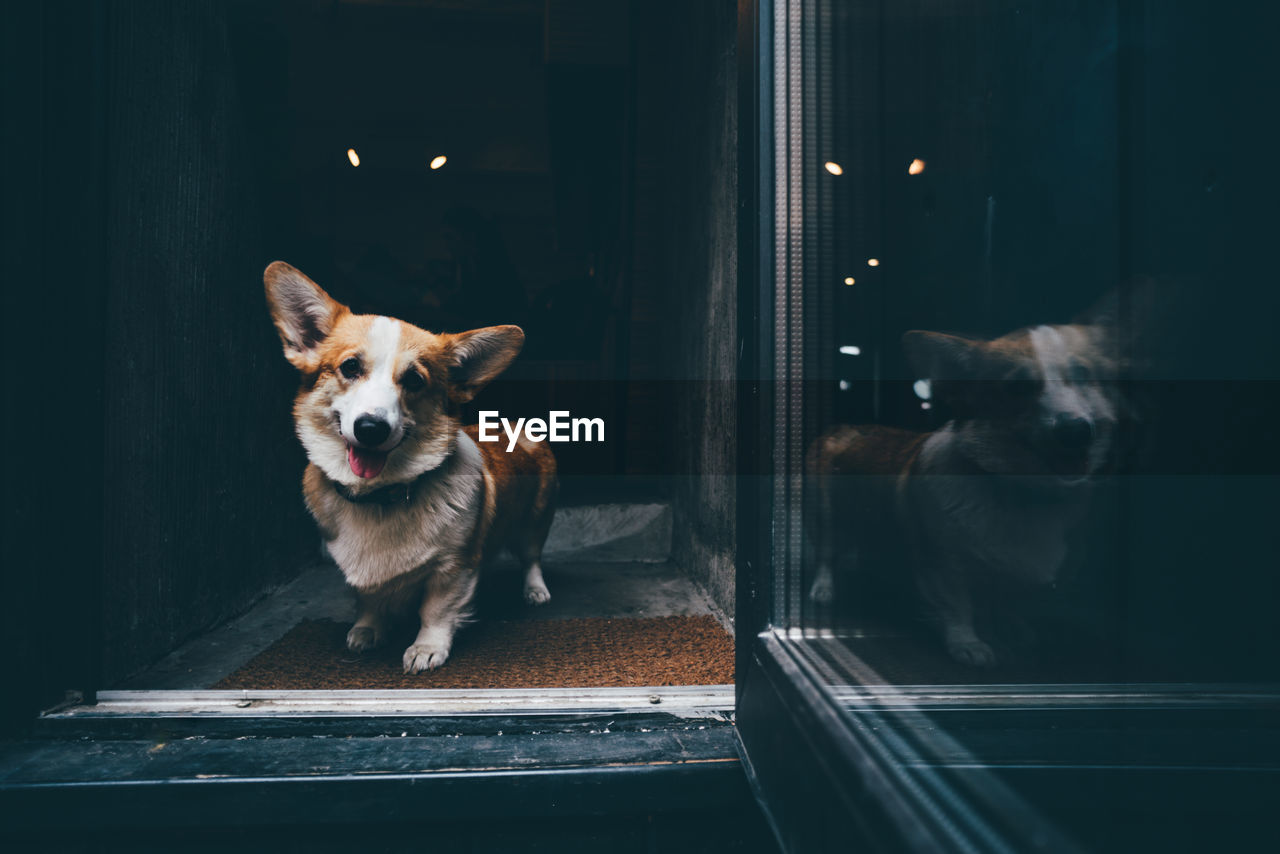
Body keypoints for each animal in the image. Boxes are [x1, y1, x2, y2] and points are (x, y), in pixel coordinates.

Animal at [263, 261, 555, 676]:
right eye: (350, 367)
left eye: (414, 380)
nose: (371, 428)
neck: (380, 497)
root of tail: (515, 425)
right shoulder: (362, 576)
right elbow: (369, 601)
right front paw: (368, 629)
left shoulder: (452, 568)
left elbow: (435, 611)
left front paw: (427, 648)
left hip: (536, 520)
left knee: (531, 558)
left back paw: (535, 591)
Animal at [814, 323, 1116, 665]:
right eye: (1018, 386)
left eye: (1082, 374)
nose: (1077, 430)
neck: (1018, 491)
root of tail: (844, 427)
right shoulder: (943, 563)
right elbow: (957, 606)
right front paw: (967, 643)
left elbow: (1008, 598)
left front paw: (1013, 626)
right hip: (824, 514)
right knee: (825, 553)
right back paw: (824, 589)